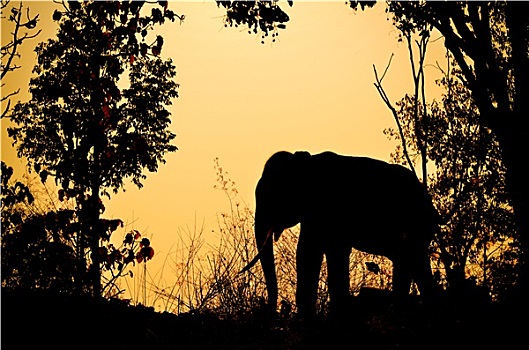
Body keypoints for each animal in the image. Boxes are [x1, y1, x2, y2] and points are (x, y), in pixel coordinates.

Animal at [243, 150, 442, 318]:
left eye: (272, 196)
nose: (273, 312)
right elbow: (310, 252)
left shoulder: (329, 208)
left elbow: (323, 251)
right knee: (410, 263)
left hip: (415, 224)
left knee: (411, 261)